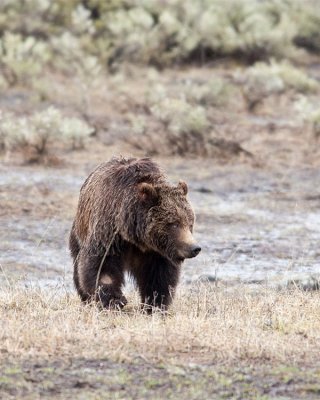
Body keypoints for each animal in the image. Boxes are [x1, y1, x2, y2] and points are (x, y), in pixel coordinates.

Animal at [69, 155, 200, 310]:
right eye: (174, 224)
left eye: (190, 223)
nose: (194, 248)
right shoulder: (109, 233)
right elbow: (102, 265)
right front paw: (115, 300)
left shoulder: (157, 251)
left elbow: (159, 276)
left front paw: (155, 304)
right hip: (79, 232)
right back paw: (86, 299)